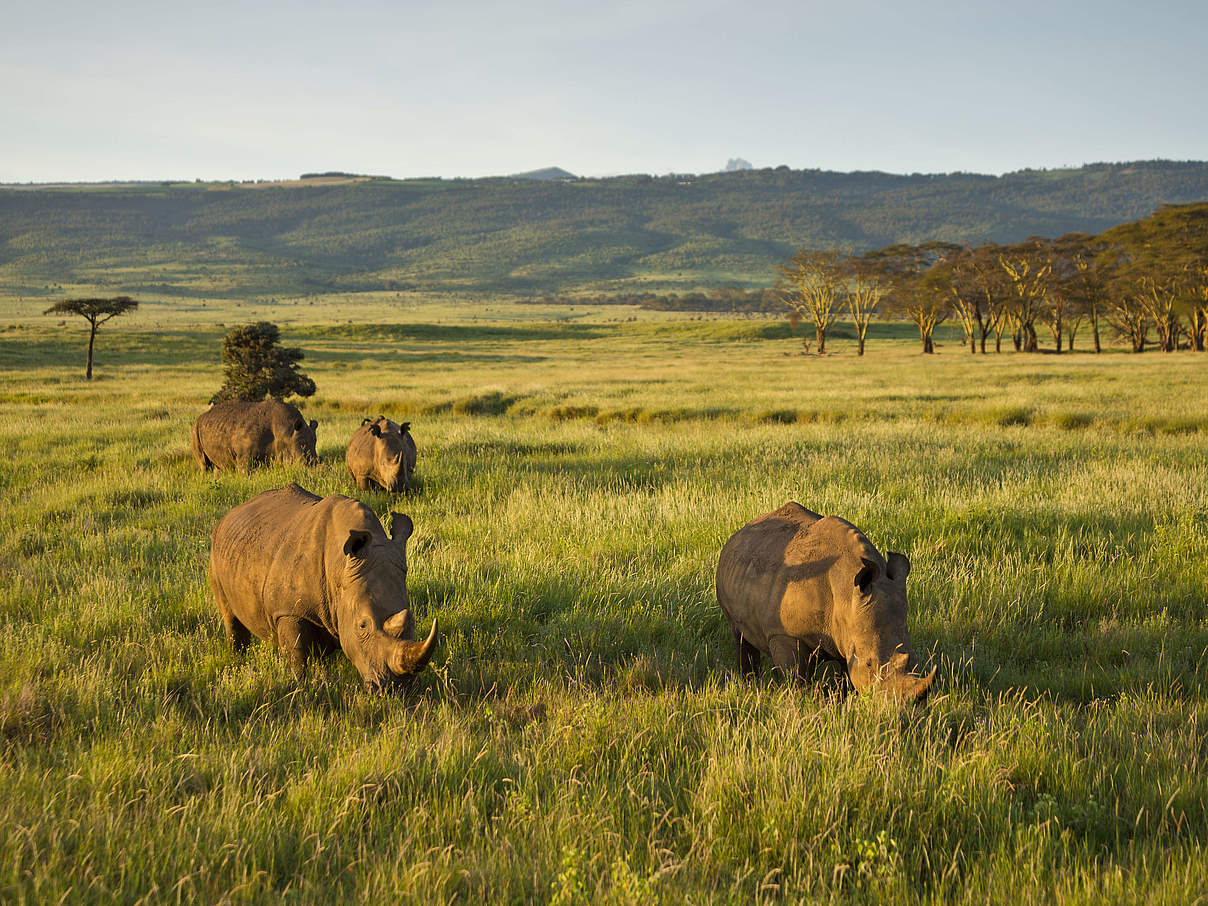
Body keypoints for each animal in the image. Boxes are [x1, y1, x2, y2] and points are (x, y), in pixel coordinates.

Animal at [190, 403, 318, 475]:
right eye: (300, 461)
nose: (313, 472)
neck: (285, 431)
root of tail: (201, 417)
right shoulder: (244, 456)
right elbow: (245, 472)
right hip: (195, 429)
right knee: (204, 464)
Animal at [208, 485, 439, 690]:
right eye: (362, 625)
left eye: (413, 620)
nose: (401, 687)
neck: (340, 569)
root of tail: (231, 513)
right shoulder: (288, 611)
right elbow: (297, 655)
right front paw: (301, 688)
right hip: (216, 550)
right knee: (230, 615)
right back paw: (237, 660)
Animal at [710, 504, 937, 700]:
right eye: (869, 664)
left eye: (915, 660)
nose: (903, 705)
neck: (846, 595)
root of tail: (741, 530)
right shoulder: (784, 633)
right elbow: (796, 676)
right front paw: (799, 702)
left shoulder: (848, 631)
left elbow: (847, 674)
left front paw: (842, 699)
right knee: (739, 635)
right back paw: (750, 682)